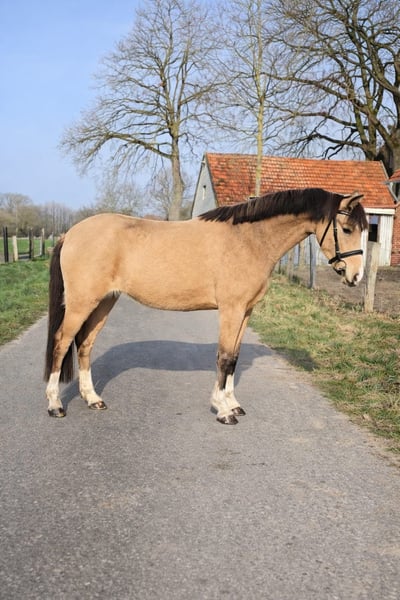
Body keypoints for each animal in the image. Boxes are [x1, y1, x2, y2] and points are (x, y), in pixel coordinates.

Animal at [44, 188, 367, 424]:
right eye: (347, 228)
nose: (356, 276)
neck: (249, 240)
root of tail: (70, 233)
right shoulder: (231, 309)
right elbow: (223, 357)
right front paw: (223, 410)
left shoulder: (246, 311)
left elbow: (234, 357)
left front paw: (233, 404)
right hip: (82, 303)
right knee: (62, 343)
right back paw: (55, 405)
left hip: (104, 301)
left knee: (85, 344)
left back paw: (92, 399)